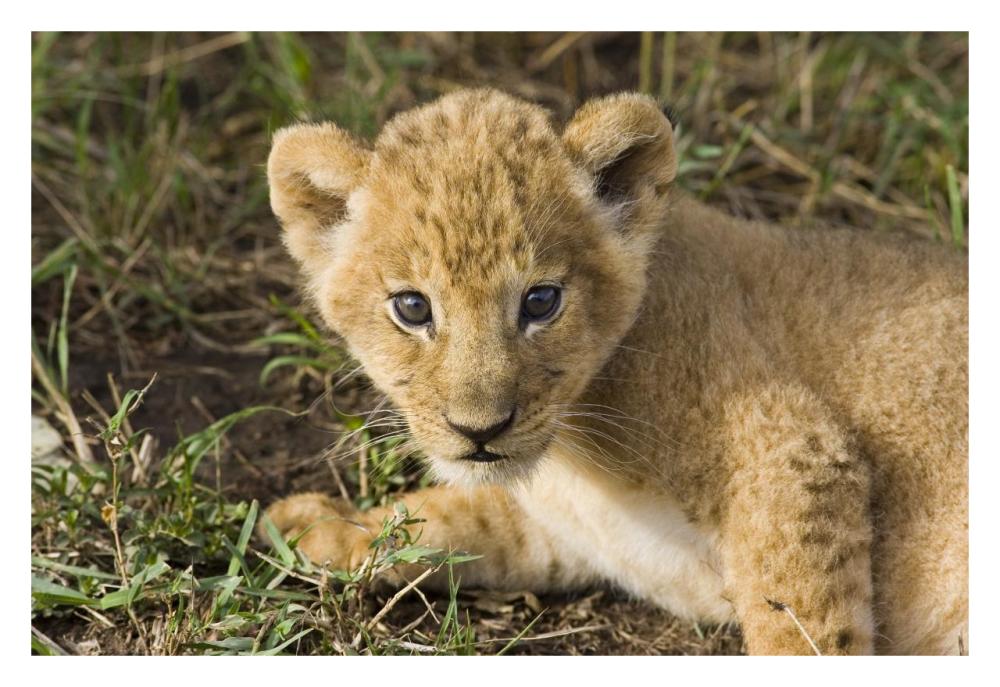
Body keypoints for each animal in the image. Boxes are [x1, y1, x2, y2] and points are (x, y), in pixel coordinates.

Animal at [262, 89, 967, 655]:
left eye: (541, 301)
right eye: (412, 308)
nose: (479, 431)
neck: (573, 453)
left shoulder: (795, 450)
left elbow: (800, 625)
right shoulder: (567, 532)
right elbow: (455, 518)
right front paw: (318, 527)